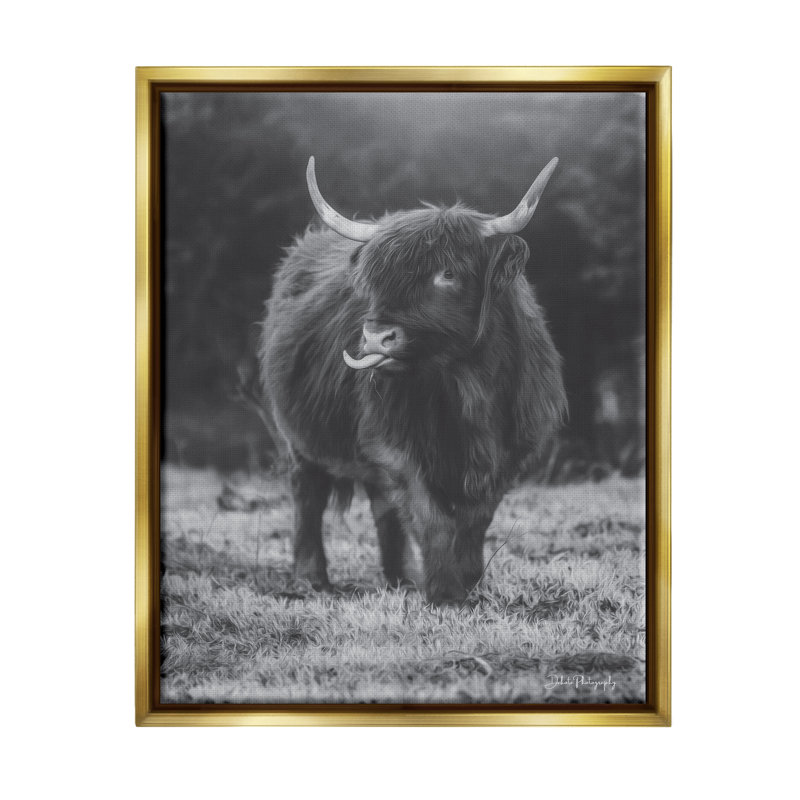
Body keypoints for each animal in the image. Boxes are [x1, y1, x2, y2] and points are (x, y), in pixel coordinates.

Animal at [259, 157, 566, 604]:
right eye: (376, 277)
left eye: (448, 273)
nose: (375, 337)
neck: (467, 386)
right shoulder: (393, 443)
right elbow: (429, 515)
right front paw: (443, 590)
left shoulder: (512, 451)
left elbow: (475, 519)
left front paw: (468, 582)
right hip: (298, 436)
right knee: (308, 494)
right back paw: (311, 578)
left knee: (381, 506)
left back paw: (400, 578)